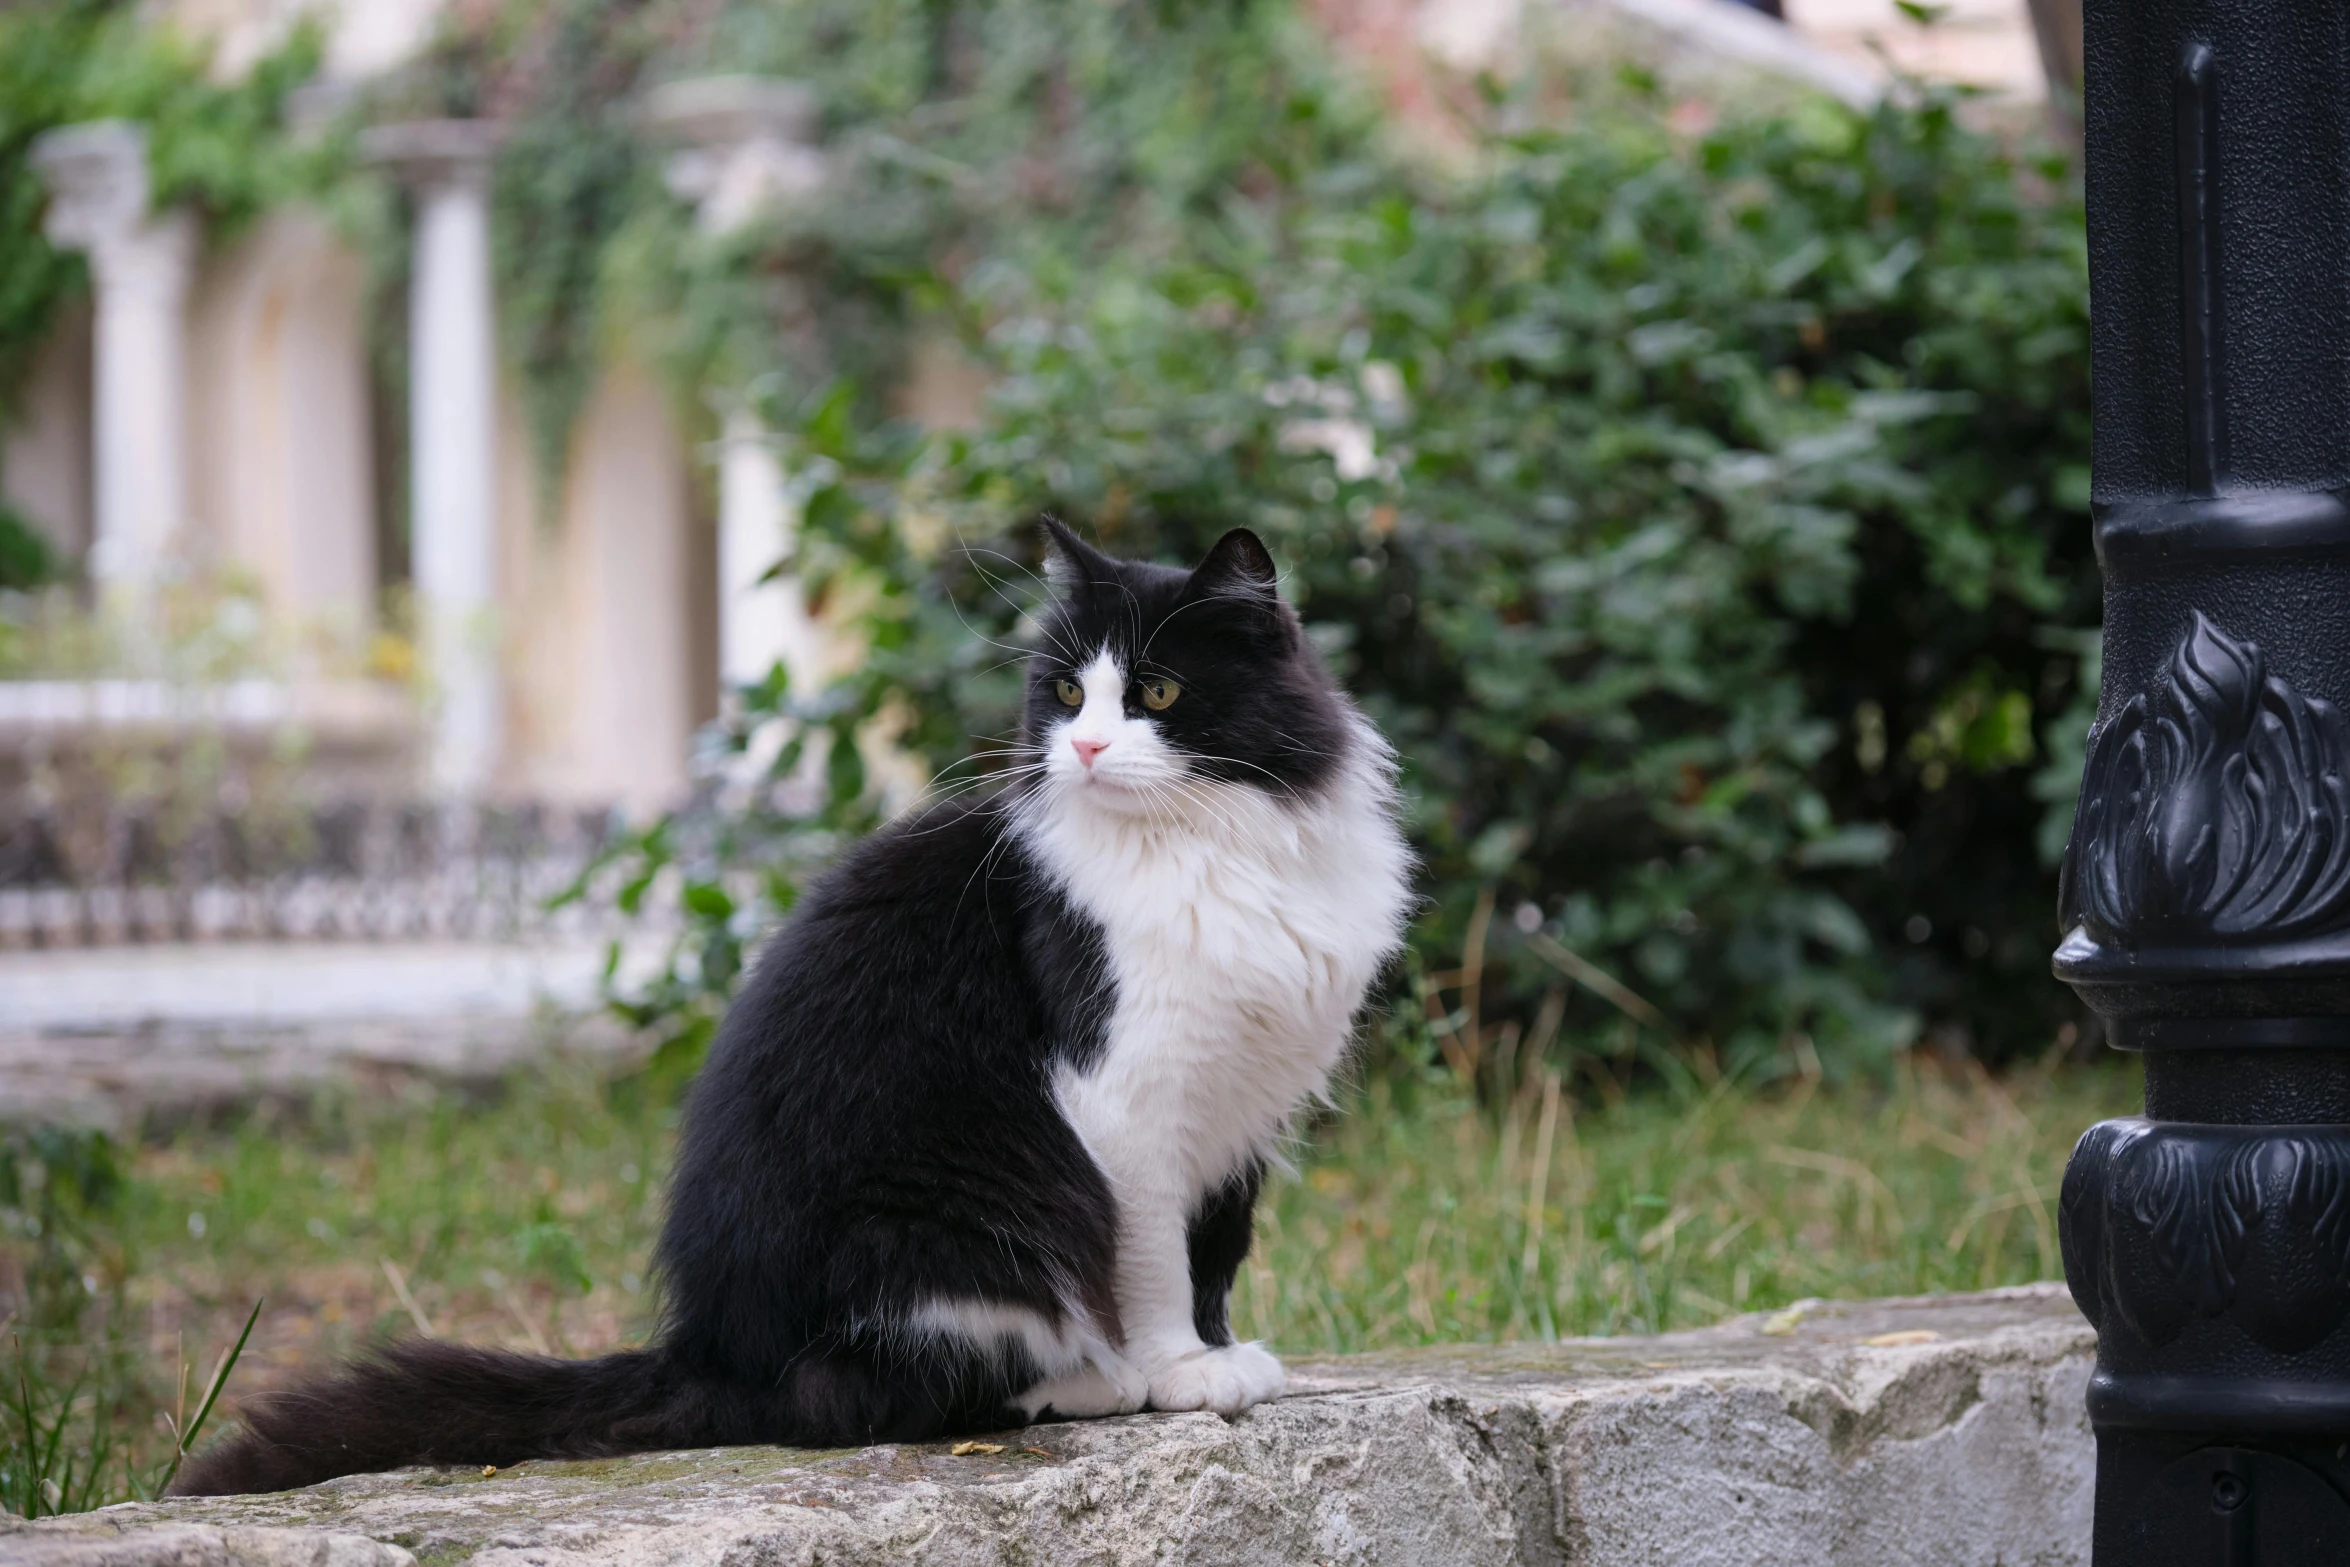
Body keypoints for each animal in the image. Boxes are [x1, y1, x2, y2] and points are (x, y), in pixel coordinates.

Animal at [178, 516, 1410, 1494]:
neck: (1213, 844)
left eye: (1154, 691)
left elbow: (1215, 1254)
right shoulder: (1124, 1094)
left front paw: (1223, 1351)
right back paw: (1080, 1382)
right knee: (849, 1397)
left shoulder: (1242, 1105)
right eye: (1066, 693)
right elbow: (1151, 1257)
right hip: (947, 1233)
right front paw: (1176, 1373)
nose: (1090, 746)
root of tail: (711, 1352)